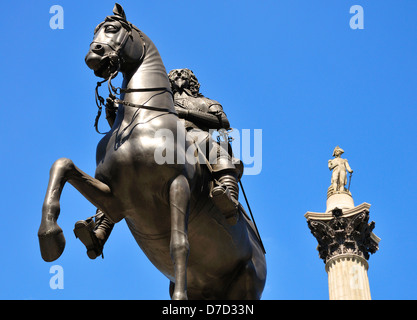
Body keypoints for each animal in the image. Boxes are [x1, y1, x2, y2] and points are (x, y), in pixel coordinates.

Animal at [39, 3, 266, 300]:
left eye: (111, 28)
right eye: (94, 31)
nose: (93, 55)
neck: (140, 121)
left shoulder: (178, 183)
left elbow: (179, 245)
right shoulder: (115, 197)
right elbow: (62, 165)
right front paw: (51, 238)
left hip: (247, 284)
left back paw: (225, 198)